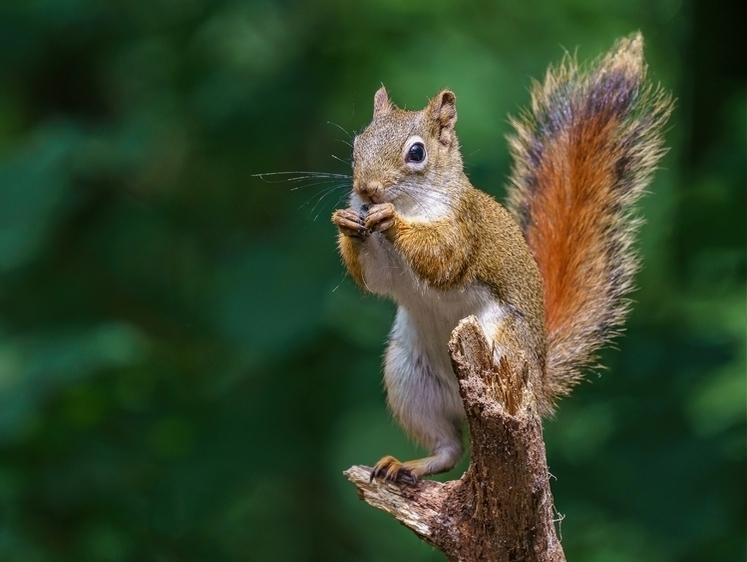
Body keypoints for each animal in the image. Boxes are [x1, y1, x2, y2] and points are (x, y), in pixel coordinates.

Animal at [332, 32, 672, 484]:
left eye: (417, 153)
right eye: (357, 144)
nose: (366, 190)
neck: (412, 204)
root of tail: (540, 383)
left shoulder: (464, 228)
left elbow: (442, 257)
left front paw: (391, 221)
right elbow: (376, 278)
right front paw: (347, 221)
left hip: (503, 346)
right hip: (410, 378)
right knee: (448, 448)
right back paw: (406, 464)